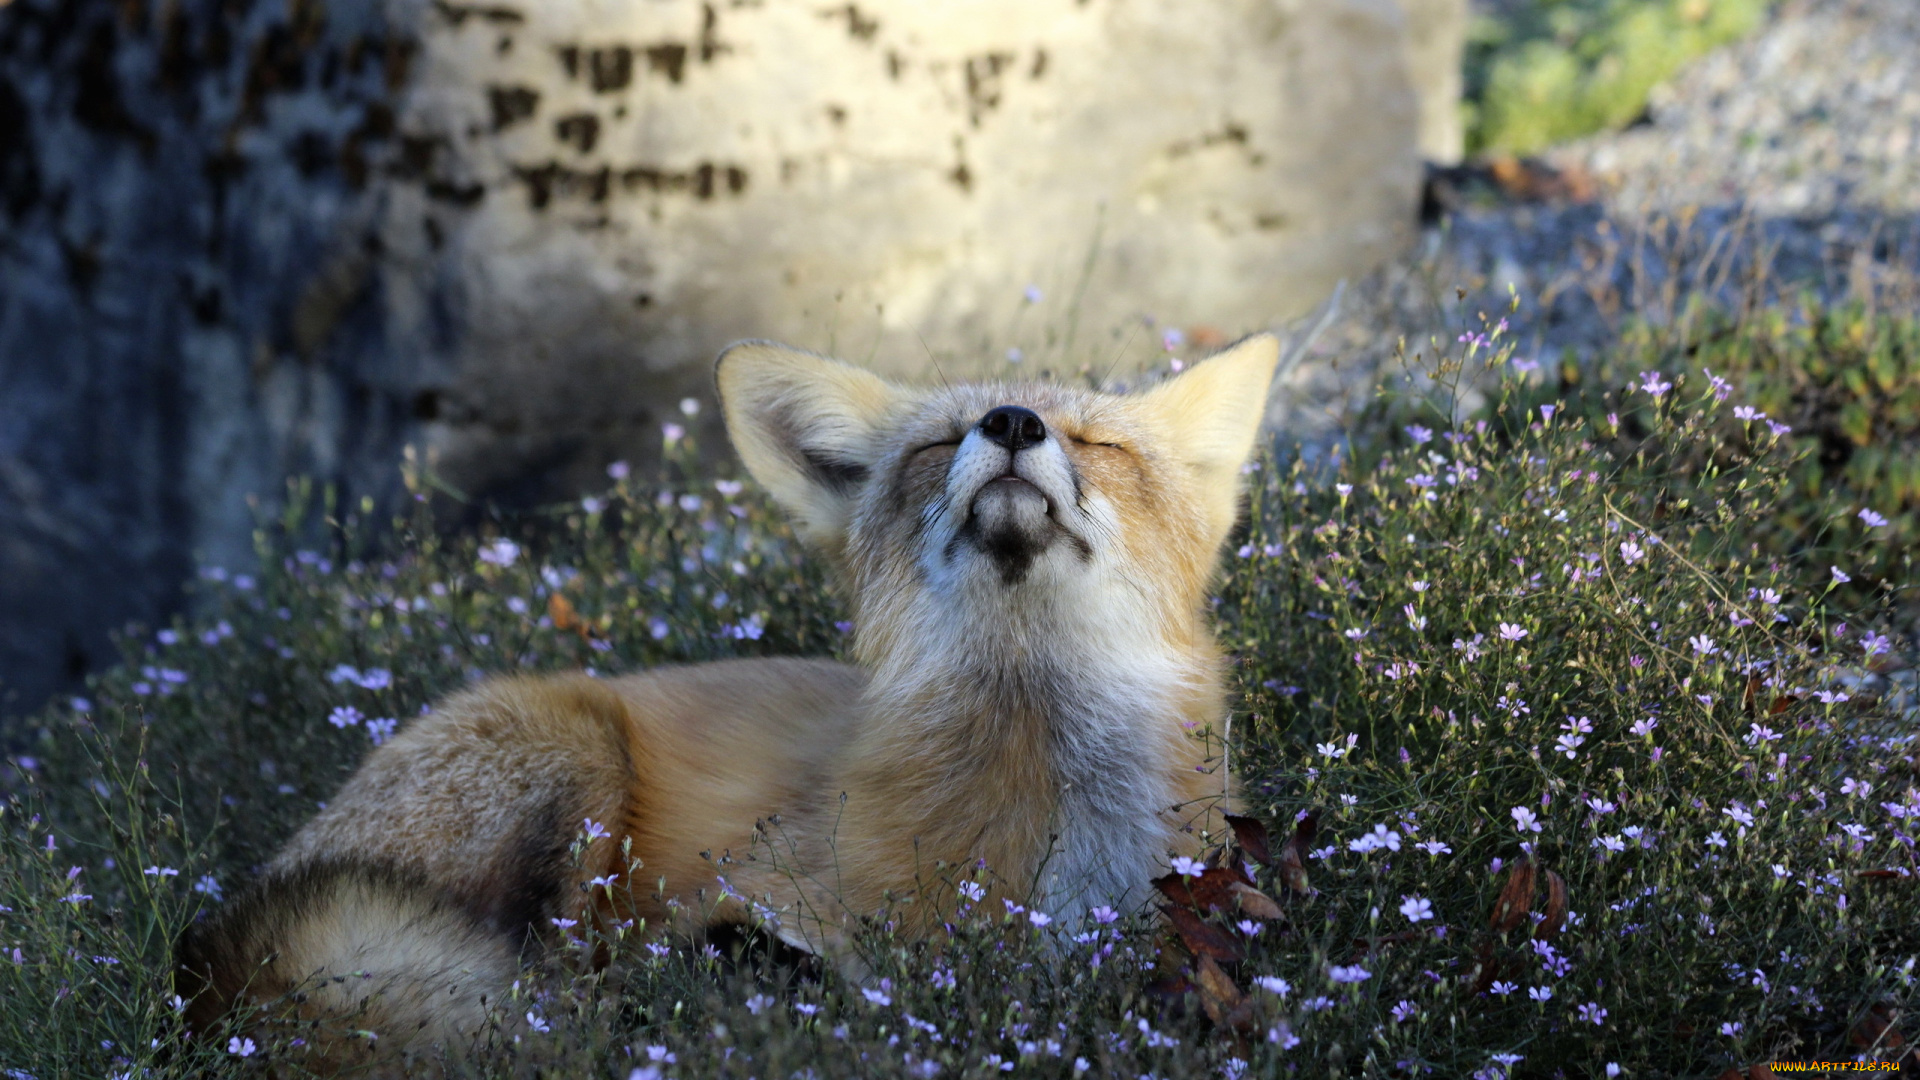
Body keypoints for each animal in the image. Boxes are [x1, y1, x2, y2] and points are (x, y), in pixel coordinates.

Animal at [172, 334, 1282, 1068]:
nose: (1011, 424)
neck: (1043, 802)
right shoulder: (764, 885)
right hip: (577, 764)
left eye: (1099, 445)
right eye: (942, 443)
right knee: (555, 992)